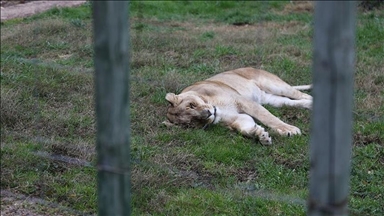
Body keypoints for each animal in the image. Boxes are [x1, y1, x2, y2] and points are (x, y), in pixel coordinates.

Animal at [164, 67, 312, 145]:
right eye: (193, 122)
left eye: (192, 105)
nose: (209, 113)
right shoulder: (238, 118)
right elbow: (243, 128)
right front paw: (260, 135)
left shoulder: (243, 101)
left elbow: (268, 117)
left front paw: (289, 130)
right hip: (270, 99)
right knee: (290, 102)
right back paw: (309, 105)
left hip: (275, 86)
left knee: (303, 95)